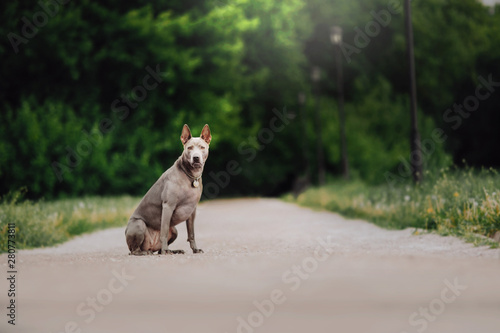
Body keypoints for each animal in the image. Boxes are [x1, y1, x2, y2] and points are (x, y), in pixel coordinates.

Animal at [126, 124, 212, 254]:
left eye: (202, 147)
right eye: (189, 148)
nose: (196, 158)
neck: (189, 176)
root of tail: (151, 246)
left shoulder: (192, 210)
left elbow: (191, 233)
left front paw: (195, 249)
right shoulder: (168, 206)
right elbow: (164, 231)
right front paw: (166, 249)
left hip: (174, 230)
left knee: (158, 250)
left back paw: (173, 251)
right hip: (139, 224)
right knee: (134, 250)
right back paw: (151, 252)